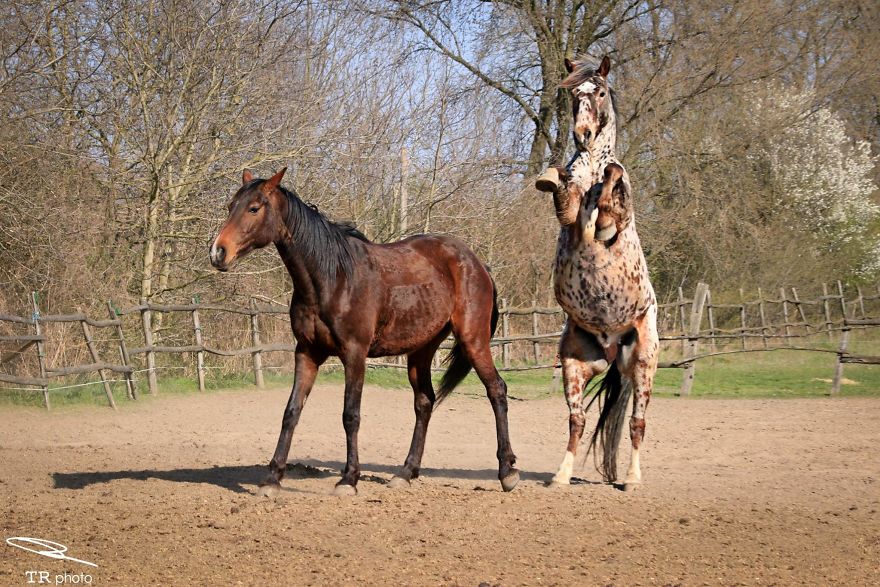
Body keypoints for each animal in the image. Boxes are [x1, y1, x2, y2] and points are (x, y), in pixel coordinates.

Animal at [209, 168, 519, 496]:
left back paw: (507, 471)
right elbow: (291, 412)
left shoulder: (355, 354)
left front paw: (348, 479)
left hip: (473, 340)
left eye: (254, 208)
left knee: (497, 390)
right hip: (421, 349)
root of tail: (476, 262)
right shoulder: (306, 352)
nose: (218, 252)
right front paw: (272, 479)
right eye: (231, 206)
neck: (332, 278)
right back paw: (405, 472)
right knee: (424, 402)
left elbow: (350, 415)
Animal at [548, 56, 659, 491]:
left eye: (598, 92)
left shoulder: (619, 215)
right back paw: (560, 474)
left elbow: (612, 185)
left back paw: (631, 478)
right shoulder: (568, 209)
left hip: (643, 363)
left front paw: (605, 189)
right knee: (576, 420)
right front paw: (555, 179)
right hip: (575, 365)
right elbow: (567, 195)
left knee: (637, 423)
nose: (582, 135)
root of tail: (613, 349)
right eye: (573, 94)